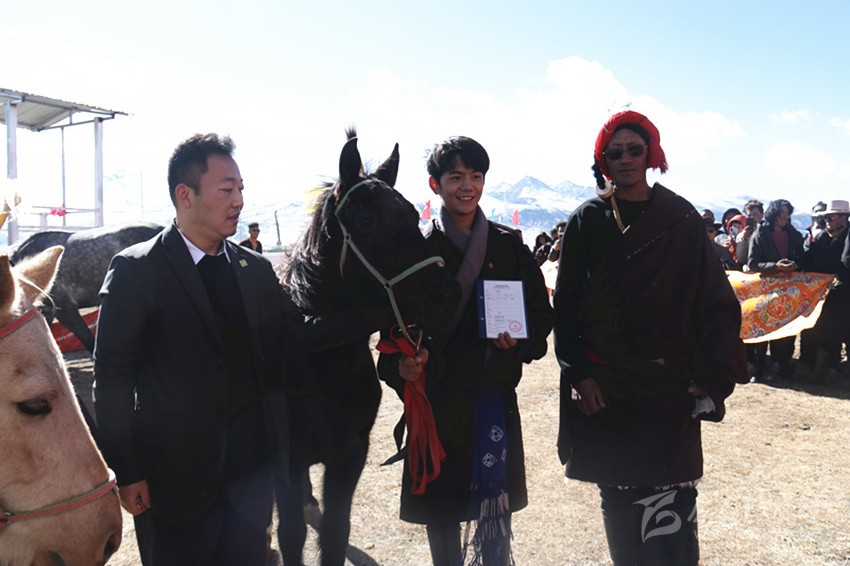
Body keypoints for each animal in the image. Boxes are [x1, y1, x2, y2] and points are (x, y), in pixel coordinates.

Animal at [278, 130, 460, 566]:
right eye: (366, 221)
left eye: (413, 214)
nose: (447, 296)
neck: (316, 355)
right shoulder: (286, 462)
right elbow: (291, 534)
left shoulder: (350, 453)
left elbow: (334, 533)